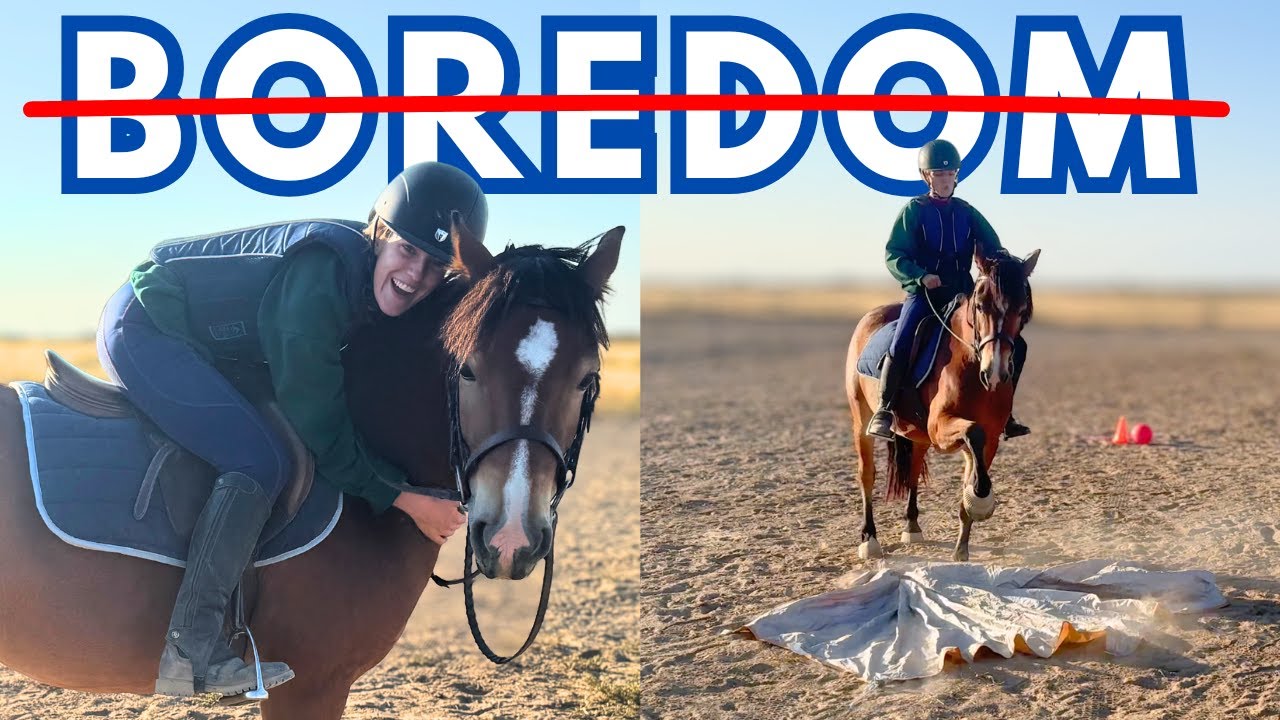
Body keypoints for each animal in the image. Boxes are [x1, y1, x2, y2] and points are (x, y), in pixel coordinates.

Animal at [844, 249, 1039, 562]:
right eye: (981, 306)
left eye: (1022, 311)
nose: (995, 373)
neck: (970, 365)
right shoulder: (941, 428)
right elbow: (973, 436)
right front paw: (981, 498)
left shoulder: (991, 437)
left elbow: (973, 469)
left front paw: (962, 549)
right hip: (861, 420)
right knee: (866, 475)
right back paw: (869, 540)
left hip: (917, 435)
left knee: (912, 470)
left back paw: (911, 527)